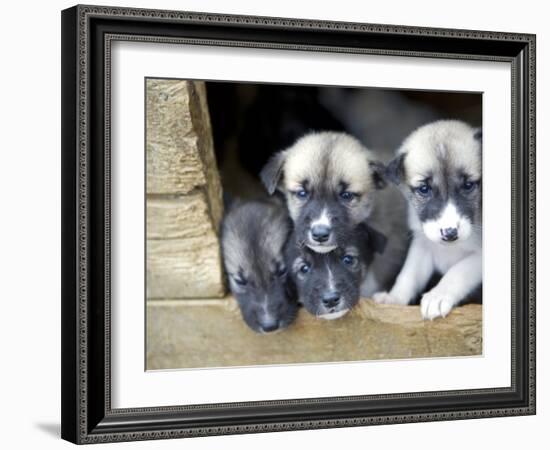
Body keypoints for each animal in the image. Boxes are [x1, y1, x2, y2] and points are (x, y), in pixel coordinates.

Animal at [376, 119, 484, 320]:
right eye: (424, 189)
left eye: (468, 185)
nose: (450, 233)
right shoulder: (422, 245)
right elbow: (409, 275)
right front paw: (394, 298)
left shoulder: (479, 257)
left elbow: (457, 271)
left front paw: (438, 296)